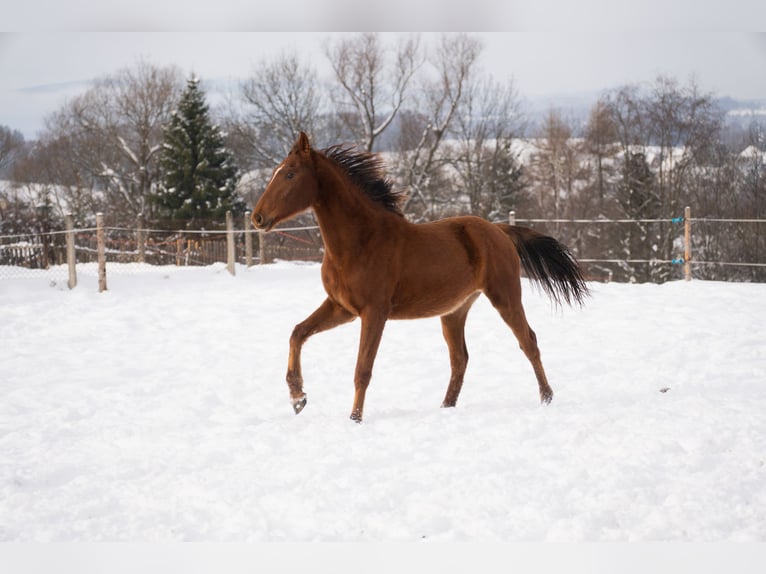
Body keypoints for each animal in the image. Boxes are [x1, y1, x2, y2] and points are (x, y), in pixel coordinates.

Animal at [252, 132, 589, 422]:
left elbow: (363, 369)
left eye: (290, 174)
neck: (360, 241)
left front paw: (355, 419)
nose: (257, 217)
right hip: (454, 311)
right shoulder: (342, 307)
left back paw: (546, 398)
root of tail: (498, 230)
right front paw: (298, 398)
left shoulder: (374, 312)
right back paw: (445, 407)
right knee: (460, 359)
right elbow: (298, 333)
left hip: (505, 296)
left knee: (528, 341)